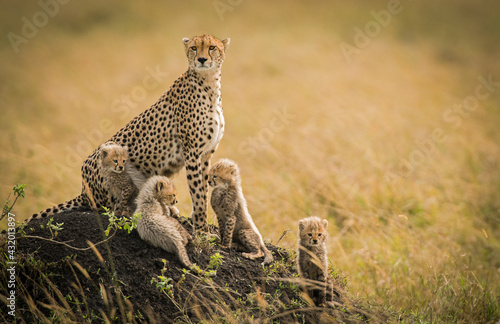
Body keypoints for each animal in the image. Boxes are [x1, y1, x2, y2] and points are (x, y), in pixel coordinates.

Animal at [32, 33, 231, 233]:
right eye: (194, 48)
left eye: (212, 47)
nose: (202, 59)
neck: (210, 84)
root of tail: (83, 192)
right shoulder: (192, 153)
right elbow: (198, 194)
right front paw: (202, 229)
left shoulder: (206, 154)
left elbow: (203, 191)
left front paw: (201, 225)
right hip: (105, 160)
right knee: (110, 207)